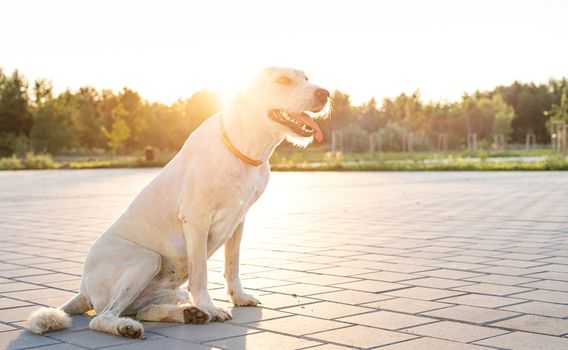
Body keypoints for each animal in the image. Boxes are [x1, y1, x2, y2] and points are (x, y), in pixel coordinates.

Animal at [26, 67, 330, 338]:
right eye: (282, 81)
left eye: (306, 77)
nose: (325, 93)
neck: (243, 145)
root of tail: (83, 290)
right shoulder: (196, 220)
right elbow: (201, 274)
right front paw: (211, 307)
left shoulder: (239, 220)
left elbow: (232, 265)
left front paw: (238, 297)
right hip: (147, 259)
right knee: (101, 318)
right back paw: (130, 327)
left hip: (166, 289)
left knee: (144, 309)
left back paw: (188, 314)